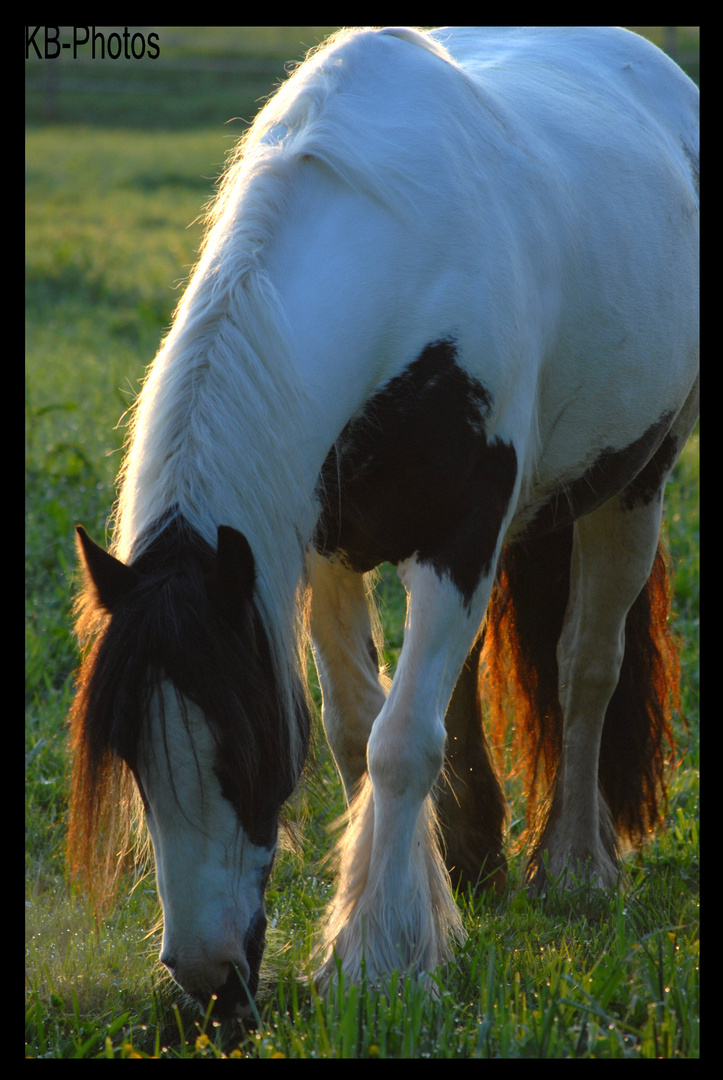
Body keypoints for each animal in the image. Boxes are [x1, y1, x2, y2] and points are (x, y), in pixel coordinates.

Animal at [66, 27, 691, 1019]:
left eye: (248, 752)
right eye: (130, 756)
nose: (207, 982)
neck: (397, 263)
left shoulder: (459, 539)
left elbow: (401, 743)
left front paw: (377, 958)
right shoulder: (320, 552)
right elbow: (362, 731)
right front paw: (415, 916)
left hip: (636, 486)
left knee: (586, 668)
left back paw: (572, 865)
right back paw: (476, 854)